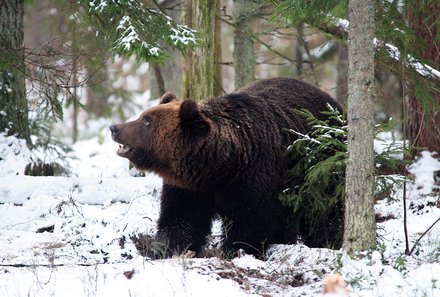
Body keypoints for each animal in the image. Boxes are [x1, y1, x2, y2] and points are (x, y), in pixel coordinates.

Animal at [109, 76, 340, 256]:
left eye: (146, 121)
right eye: (142, 116)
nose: (114, 127)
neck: (220, 167)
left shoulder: (255, 177)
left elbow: (249, 221)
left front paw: (238, 250)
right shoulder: (189, 188)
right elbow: (181, 218)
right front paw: (164, 246)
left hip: (319, 170)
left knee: (323, 214)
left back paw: (327, 241)